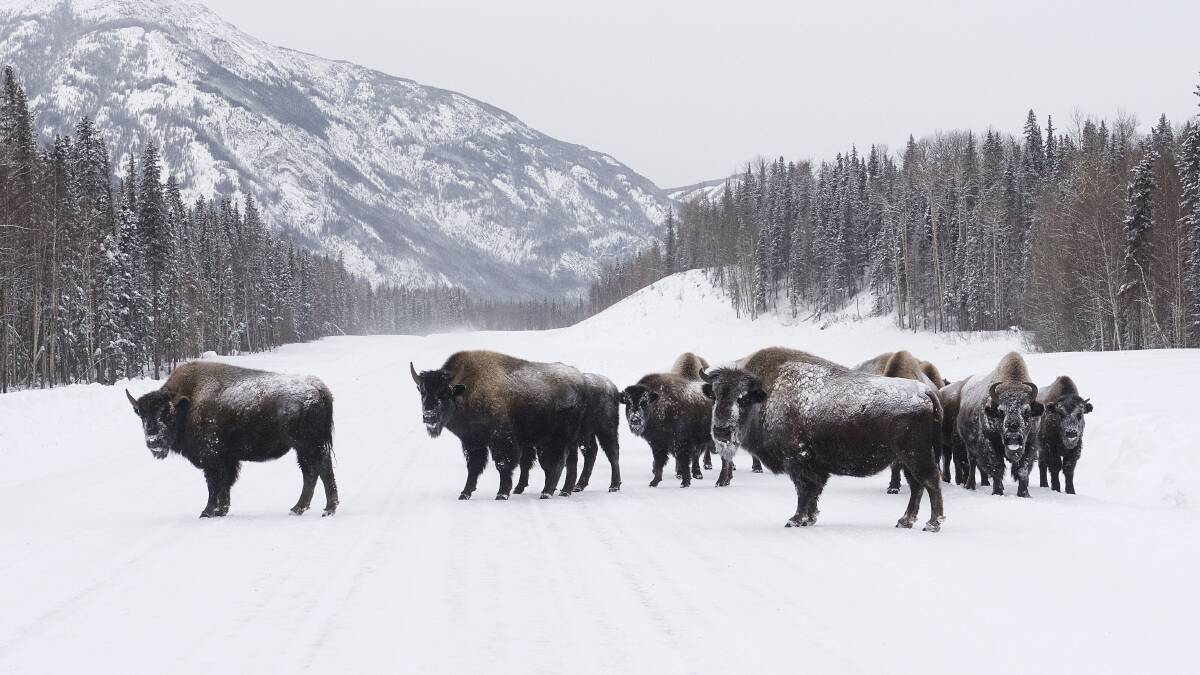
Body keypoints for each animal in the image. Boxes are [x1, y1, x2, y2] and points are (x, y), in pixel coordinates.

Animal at [126, 362, 338, 518]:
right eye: (142, 416)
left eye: (168, 415)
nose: (153, 441)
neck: (188, 404)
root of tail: (318, 388)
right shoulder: (227, 459)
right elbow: (225, 485)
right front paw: (221, 510)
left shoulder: (212, 459)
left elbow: (214, 485)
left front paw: (207, 512)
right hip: (303, 448)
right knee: (311, 473)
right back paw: (298, 508)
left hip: (309, 445)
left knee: (321, 470)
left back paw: (327, 509)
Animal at [411, 350, 588, 500]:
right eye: (422, 391)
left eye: (445, 393)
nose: (429, 416)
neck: (468, 390)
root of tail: (579, 380)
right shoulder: (472, 442)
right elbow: (473, 468)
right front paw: (465, 494)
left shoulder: (501, 439)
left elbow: (502, 465)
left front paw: (502, 494)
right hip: (565, 441)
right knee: (569, 462)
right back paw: (564, 491)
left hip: (557, 439)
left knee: (558, 463)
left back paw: (547, 493)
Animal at [703, 347, 945, 531]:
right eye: (714, 395)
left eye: (743, 398)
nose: (721, 431)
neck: (766, 396)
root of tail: (925, 391)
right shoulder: (812, 466)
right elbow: (812, 491)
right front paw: (809, 518)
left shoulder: (797, 461)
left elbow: (804, 490)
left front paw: (795, 519)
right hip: (906, 459)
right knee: (917, 485)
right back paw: (905, 521)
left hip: (915, 455)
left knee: (930, 481)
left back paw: (932, 524)